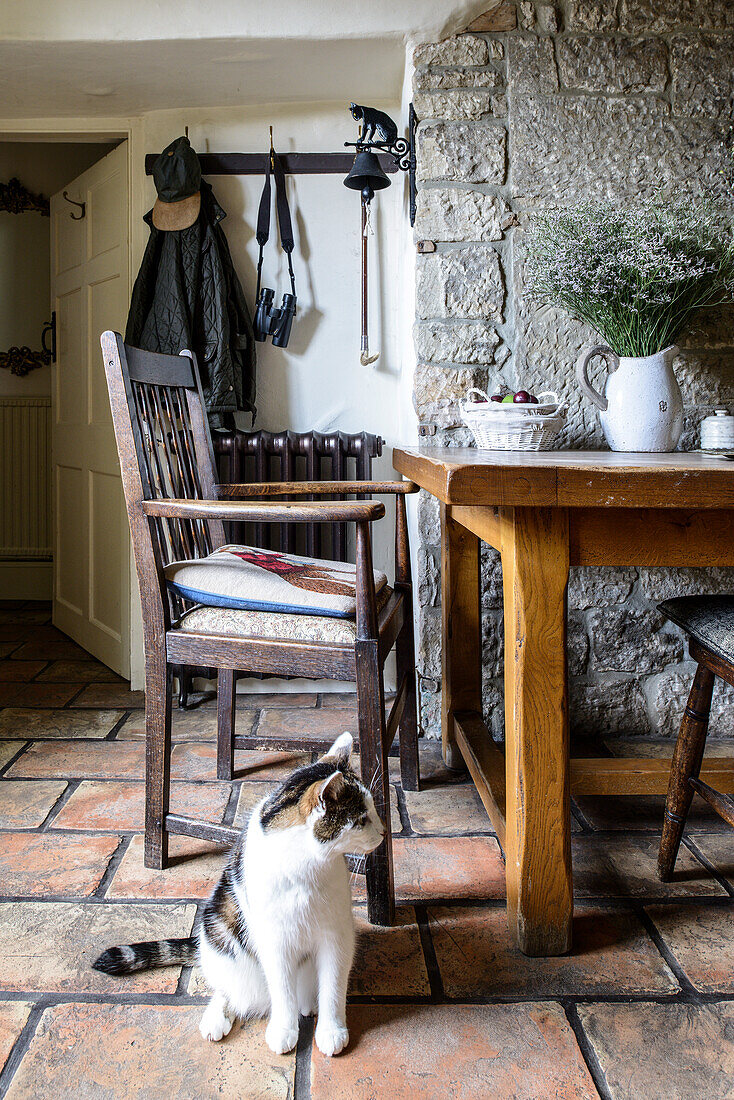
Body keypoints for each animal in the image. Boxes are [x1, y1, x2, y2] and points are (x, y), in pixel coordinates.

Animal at [93, 730, 385, 1056]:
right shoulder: (274, 941)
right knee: (228, 987)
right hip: (219, 935)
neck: (307, 864)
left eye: (372, 810)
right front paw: (283, 1031)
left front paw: (332, 1031)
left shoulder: (336, 934)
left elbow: (333, 986)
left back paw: (309, 1004)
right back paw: (215, 1019)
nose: (384, 831)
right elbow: (281, 990)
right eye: (361, 819)